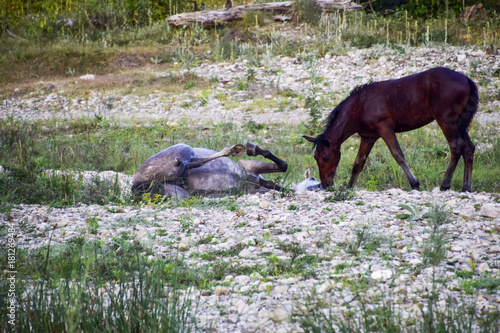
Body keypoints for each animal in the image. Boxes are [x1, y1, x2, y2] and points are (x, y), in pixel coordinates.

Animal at [133, 141, 296, 198]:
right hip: (184, 148)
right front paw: (252, 148)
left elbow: (280, 170)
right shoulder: (247, 169)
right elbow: (280, 165)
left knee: (186, 170)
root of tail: (135, 186)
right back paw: (234, 149)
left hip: (179, 190)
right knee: (188, 164)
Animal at [302, 67, 478, 192]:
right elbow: (358, 163)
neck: (359, 106)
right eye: (315, 158)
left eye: (326, 158)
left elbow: (398, 154)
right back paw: (466, 187)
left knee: (456, 146)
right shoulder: (368, 136)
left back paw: (445, 184)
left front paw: (414, 183)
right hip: (461, 123)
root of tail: (466, 79)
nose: (326, 184)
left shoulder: (385, 128)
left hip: (446, 120)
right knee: (468, 148)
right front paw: (349, 187)